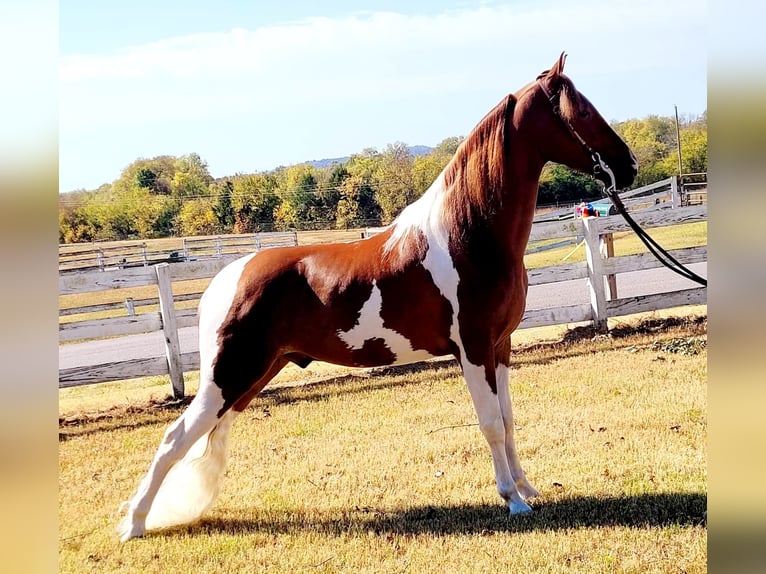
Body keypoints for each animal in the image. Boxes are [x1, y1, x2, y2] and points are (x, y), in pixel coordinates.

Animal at [117, 51, 640, 544]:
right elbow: (490, 422)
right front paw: (512, 500)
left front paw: (527, 487)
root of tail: (224, 281)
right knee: (173, 438)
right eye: (582, 110)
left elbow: (508, 419)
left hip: (251, 378)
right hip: (227, 377)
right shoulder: (472, 349)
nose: (628, 166)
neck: (468, 233)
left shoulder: (500, 347)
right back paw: (135, 524)